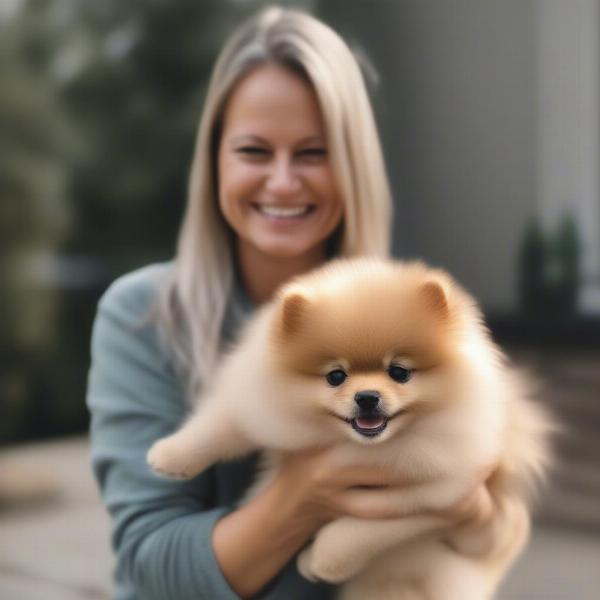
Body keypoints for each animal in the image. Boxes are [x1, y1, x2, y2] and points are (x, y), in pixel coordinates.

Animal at [146, 258, 552, 600]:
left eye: (399, 372)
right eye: (335, 376)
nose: (367, 397)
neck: (350, 442)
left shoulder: (433, 495)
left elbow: (357, 532)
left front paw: (318, 561)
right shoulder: (263, 402)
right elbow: (222, 424)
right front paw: (169, 455)